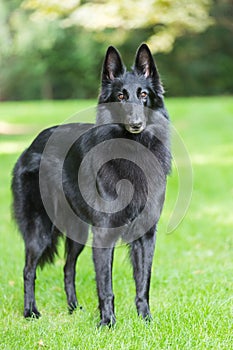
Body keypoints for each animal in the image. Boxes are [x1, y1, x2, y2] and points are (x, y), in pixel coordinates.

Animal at [11, 43, 171, 326]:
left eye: (143, 94)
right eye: (120, 96)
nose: (136, 124)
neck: (133, 150)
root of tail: (31, 145)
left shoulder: (145, 234)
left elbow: (143, 283)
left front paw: (146, 321)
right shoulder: (104, 234)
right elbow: (106, 286)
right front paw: (107, 323)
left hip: (78, 232)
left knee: (67, 267)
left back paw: (73, 308)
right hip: (40, 231)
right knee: (28, 269)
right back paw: (30, 311)